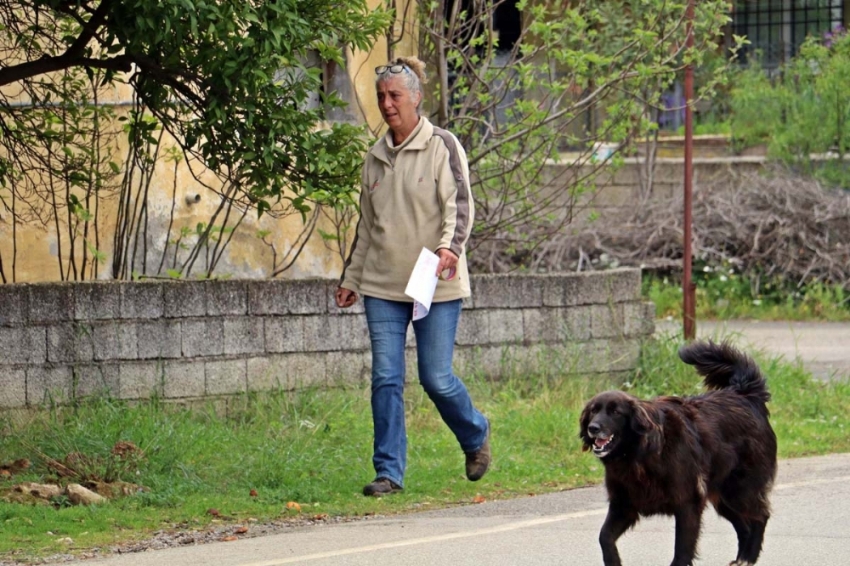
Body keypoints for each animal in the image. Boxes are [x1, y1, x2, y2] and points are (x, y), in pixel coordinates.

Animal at [580, 342, 772, 566]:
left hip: (739, 490)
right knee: (744, 524)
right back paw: (742, 558)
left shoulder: (688, 503)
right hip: (723, 497)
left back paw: (749, 557)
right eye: (594, 411)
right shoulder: (623, 504)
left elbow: (682, 549)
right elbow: (604, 536)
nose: (593, 428)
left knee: (760, 516)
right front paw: (613, 561)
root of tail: (745, 394)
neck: (639, 454)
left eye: (615, 412)